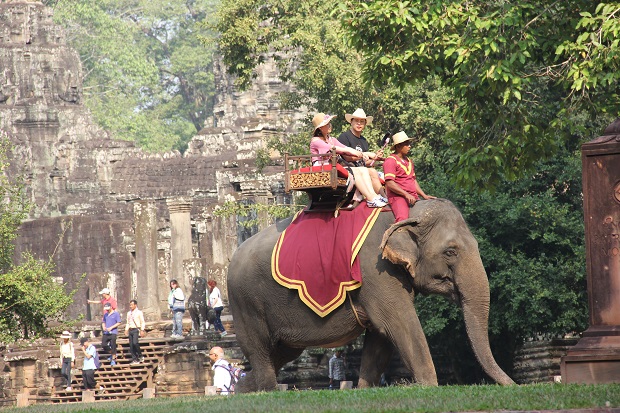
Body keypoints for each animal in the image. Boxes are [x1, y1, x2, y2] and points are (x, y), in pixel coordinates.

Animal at [226, 198, 512, 392]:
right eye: (450, 251)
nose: (514, 385)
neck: (408, 213)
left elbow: (380, 337)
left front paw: (364, 390)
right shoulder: (375, 268)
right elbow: (399, 323)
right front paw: (428, 386)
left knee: (282, 353)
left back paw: (242, 390)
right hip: (245, 302)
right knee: (259, 349)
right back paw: (266, 391)